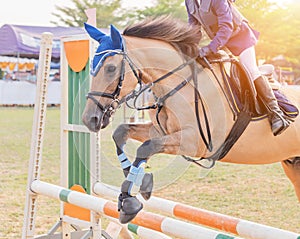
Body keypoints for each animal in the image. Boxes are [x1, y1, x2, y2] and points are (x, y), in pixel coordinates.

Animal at [82, 15, 300, 223]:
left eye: (110, 68)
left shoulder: (196, 142)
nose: (89, 119)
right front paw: (139, 182)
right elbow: (121, 133)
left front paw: (129, 202)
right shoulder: (161, 130)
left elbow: (146, 147)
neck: (178, 83)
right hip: (292, 164)